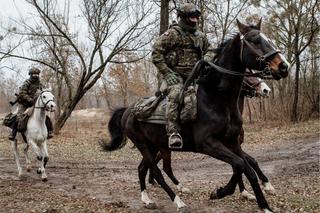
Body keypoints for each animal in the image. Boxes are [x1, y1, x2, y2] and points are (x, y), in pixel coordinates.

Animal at [100, 19, 290, 212]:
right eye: (254, 40)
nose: (283, 66)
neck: (216, 99)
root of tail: (128, 110)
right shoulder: (208, 144)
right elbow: (241, 164)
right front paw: (225, 192)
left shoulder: (232, 142)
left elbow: (246, 166)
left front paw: (259, 202)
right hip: (143, 145)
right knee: (157, 171)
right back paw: (177, 200)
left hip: (155, 146)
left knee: (143, 168)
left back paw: (147, 199)